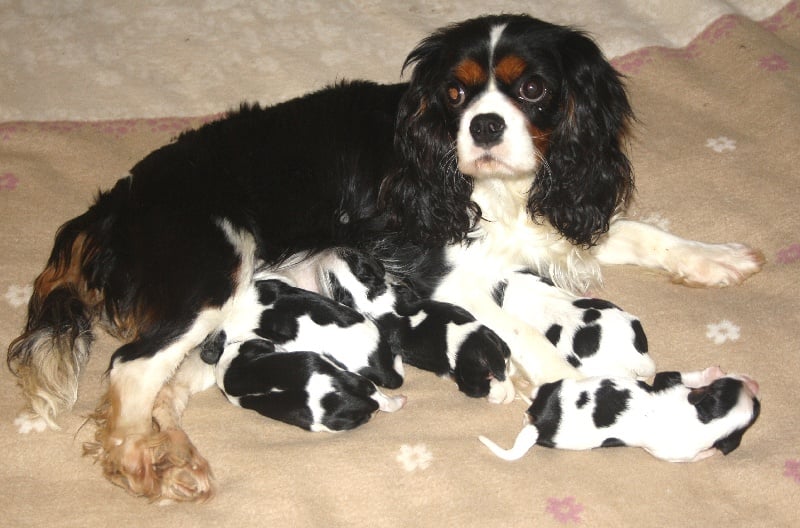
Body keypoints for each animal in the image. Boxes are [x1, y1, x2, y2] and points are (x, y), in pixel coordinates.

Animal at [478, 368, 760, 462]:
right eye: (726, 384)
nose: (754, 385)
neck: (704, 419)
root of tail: (540, 426)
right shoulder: (669, 381)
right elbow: (687, 375)